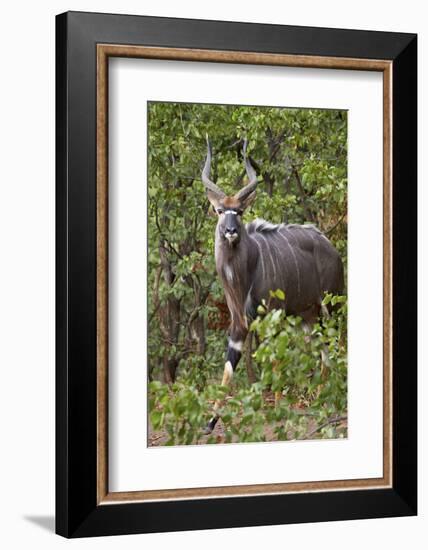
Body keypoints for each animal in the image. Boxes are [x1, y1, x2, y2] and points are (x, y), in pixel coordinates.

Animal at [201, 139, 344, 436]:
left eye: (239, 211)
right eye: (220, 210)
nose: (231, 231)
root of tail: (332, 248)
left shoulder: (272, 315)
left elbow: (274, 360)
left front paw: (276, 408)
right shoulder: (239, 323)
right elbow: (229, 367)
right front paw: (209, 423)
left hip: (332, 304)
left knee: (336, 342)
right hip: (308, 315)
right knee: (323, 348)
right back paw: (320, 397)